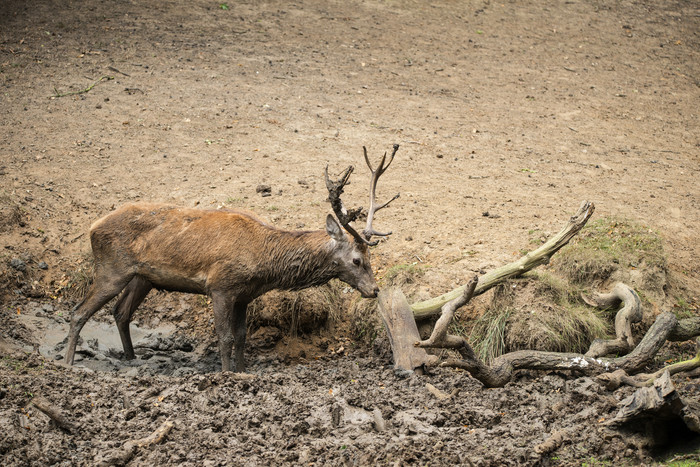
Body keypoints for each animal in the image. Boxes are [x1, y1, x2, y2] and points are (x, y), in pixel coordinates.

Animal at [65, 145, 400, 372]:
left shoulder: (244, 295)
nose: (374, 290)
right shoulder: (221, 286)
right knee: (78, 312)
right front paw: (226, 374)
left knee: (120, 312)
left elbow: (240, 337)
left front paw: (242, 371)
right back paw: (68, 364)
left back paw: (132, 358)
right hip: (112, 267)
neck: (265, 263)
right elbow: (224, 337)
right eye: (357, 260)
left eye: (370, 257)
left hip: (142, 277)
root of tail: (92, 226)